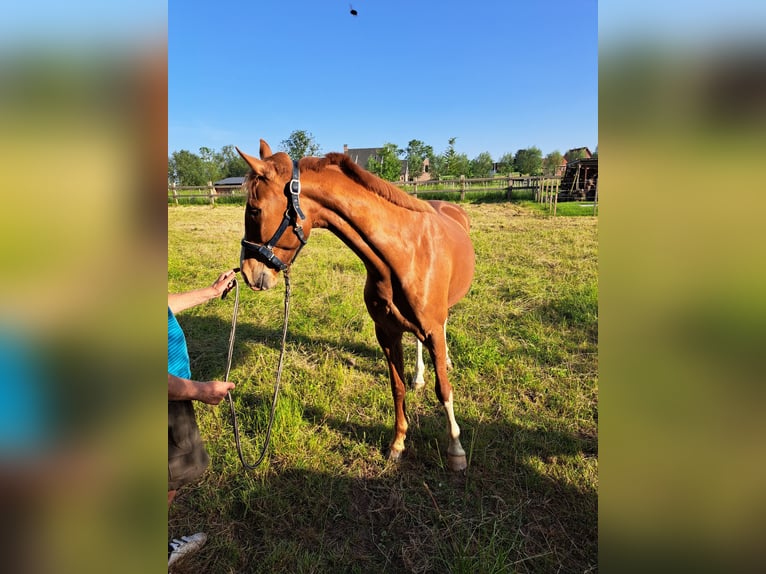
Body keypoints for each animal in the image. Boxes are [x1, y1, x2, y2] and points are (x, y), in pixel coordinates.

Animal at [236, 140, 475, 471]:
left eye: (255, 209)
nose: (248, 273)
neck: (404, 252)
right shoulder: (386, 333)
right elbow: (397, 387)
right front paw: (398, 443)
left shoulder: (431, 329)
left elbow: (444, 390)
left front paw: (456, 449)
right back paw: (419, 376)